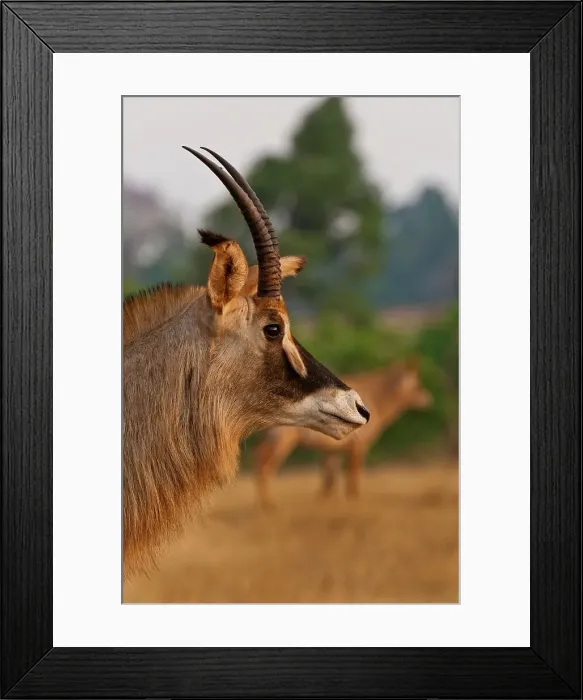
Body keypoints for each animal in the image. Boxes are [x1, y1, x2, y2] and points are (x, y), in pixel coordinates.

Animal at [254, 357, 432, 508]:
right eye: (417, 385)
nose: (428, 399)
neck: (376, 397)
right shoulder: (358, 447)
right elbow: (353, 474)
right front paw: (353, 500)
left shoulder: (333, 450)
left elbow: (329, 480)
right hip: (283, 440)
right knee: (266, 464)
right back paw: (269, 504)